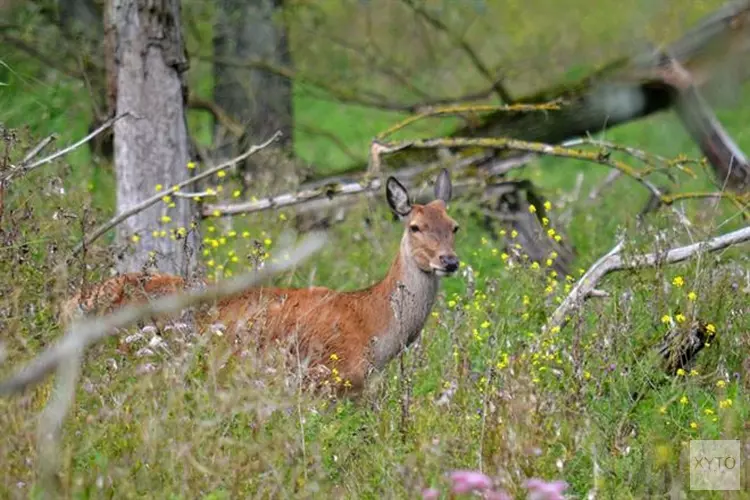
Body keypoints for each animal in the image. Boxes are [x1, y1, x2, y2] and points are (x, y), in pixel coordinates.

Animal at [64, 169, 462, 394]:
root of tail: (73, 302)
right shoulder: (325, 380)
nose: (450, 261)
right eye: (415, 226)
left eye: (454, 226)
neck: (373, 327)